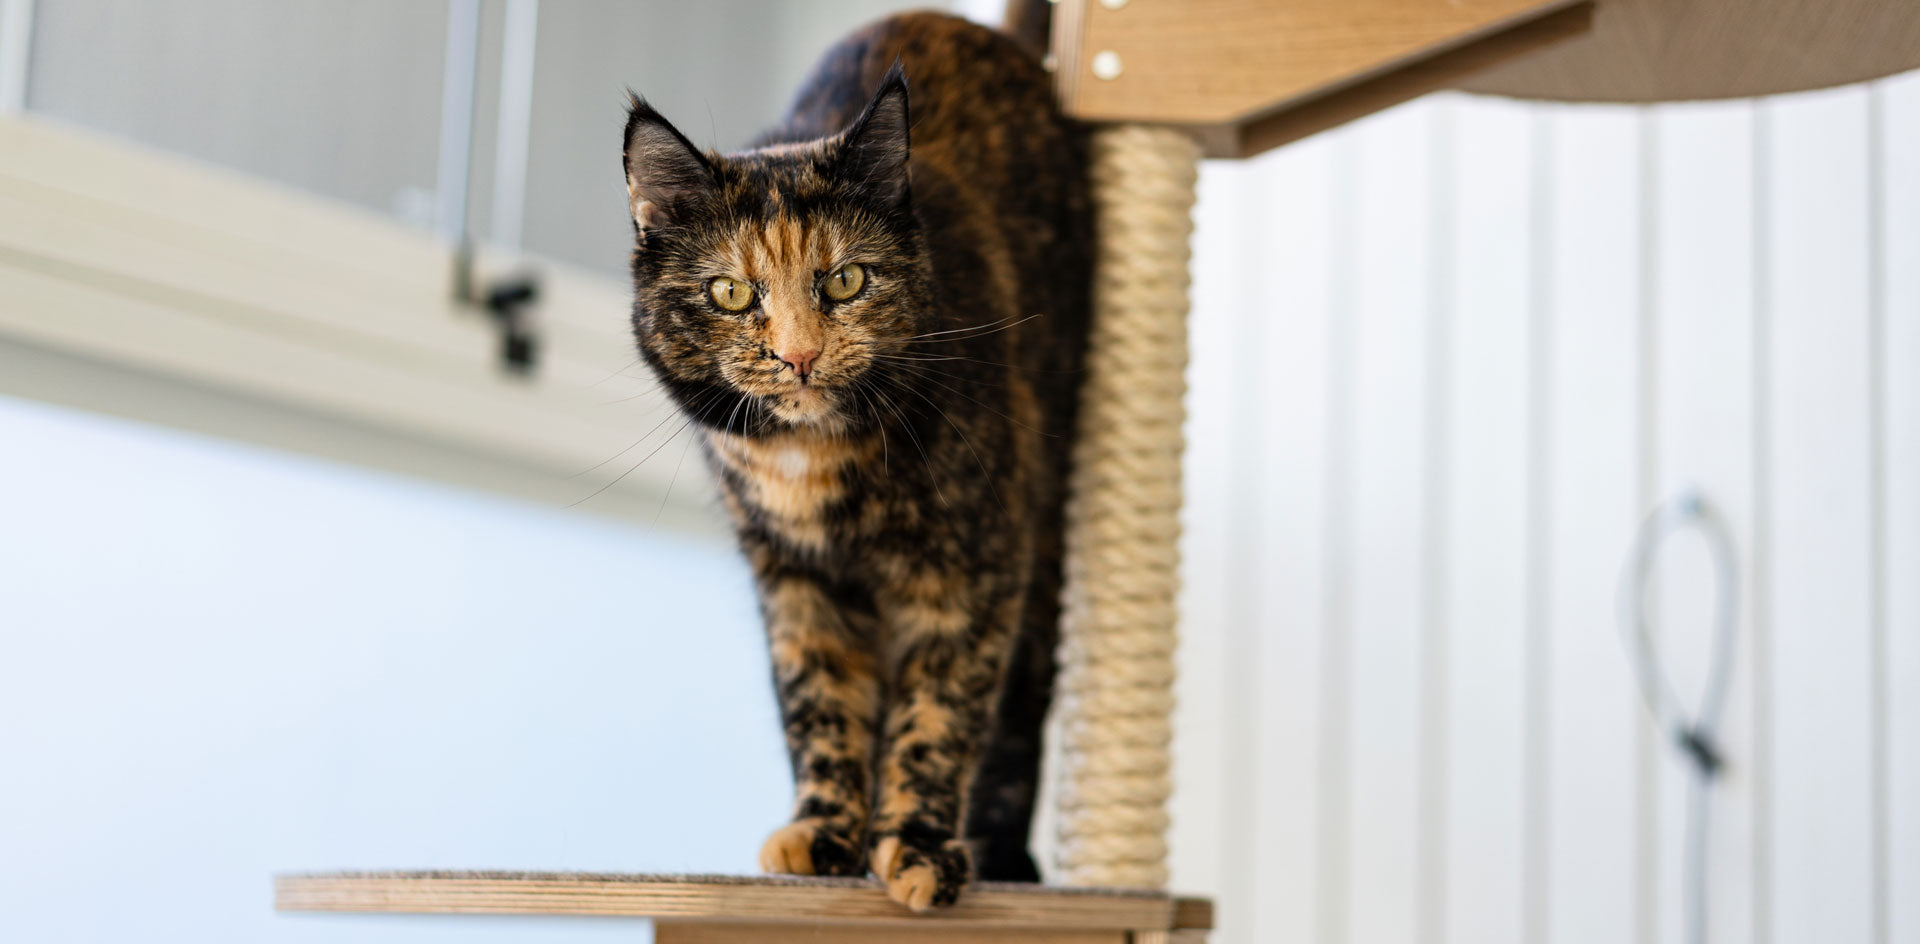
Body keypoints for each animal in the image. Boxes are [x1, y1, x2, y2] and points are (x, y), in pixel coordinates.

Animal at [622, 9, 1090, 913]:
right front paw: (825, 831)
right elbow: (819, 705)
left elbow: (938, 714)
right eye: (731, 293)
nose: (800, 355)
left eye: (845, 280)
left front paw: (916, 844)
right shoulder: (796, 584)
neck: (813, 462)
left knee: (1019, 712)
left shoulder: (971, 577)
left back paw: (1004, 855)